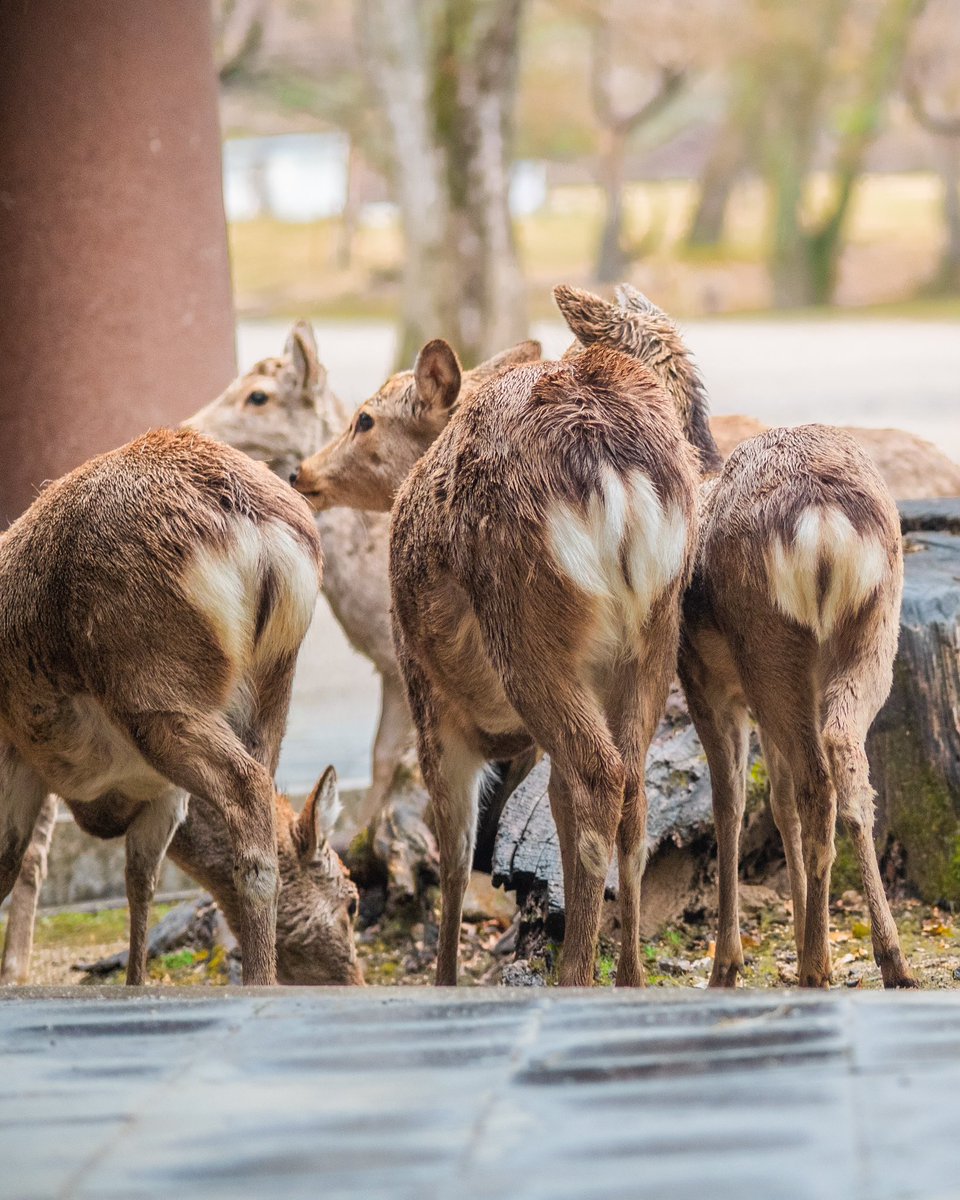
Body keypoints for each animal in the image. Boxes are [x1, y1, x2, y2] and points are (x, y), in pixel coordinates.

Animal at [0, 427, 358, 987]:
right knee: (257, 787)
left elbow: (16, 863)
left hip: (156, 692)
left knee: (245, 791)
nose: (356, 980)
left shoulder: (26, 759)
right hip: (270, 693)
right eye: (353, 903)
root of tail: (260, 533)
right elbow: (139, 878)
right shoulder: (161, 793)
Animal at [292, 339, 700, 987]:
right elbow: (544, 811)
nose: (301, 472)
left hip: (525, 628)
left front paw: (446, 979)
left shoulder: (426, 696)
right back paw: (629, 978)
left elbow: (456, 853)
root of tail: (618, 471)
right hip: (656, 634)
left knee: (597, 780)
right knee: (630, 790)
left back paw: (575, 977)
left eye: (364, 419)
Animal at [554, 282, 915, 989]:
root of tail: (825, 522)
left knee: (815, 785)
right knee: (844, 764)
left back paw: (813, 967)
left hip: (768, 642)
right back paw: (885, 960)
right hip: (867, 634)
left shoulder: (703, 677)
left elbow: (730, 803)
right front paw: (802, 932)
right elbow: (774, 800)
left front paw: (729, 962)